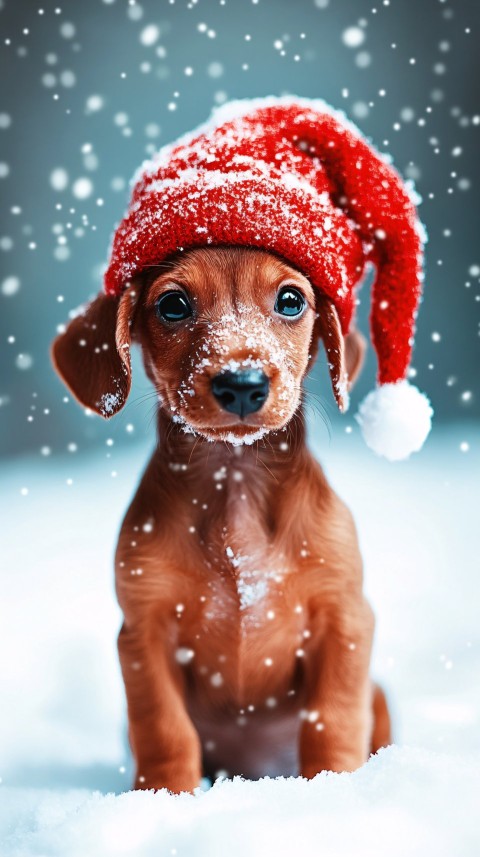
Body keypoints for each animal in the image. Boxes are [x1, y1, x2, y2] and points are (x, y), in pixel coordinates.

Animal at [52, 244, 390, 792]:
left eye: (291, 300)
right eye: (173, 305)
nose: (242, 385)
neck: (236, 486)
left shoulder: (345, 619)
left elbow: (333, 714)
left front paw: (332, 784)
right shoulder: (144, 632)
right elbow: (163, 726)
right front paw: (165, 794)